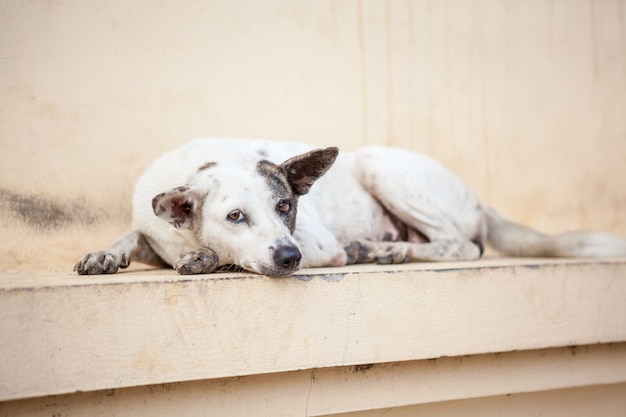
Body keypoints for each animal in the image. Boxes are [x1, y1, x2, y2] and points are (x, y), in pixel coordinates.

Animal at [75, 138, 624, 276]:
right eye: (235, 217)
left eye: (285, 206)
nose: (290, 257)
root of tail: (479, 200)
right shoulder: (152, 226)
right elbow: (135, 236)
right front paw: (107, 254)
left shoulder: (318, 242)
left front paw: (205, 258)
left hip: (380, 164)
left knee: (463, 245)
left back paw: (384, 252)